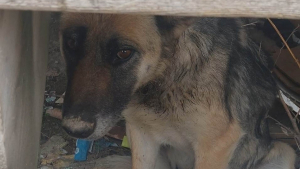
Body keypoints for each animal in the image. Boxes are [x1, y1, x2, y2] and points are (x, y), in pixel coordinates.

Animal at [59, 13, 296, 169]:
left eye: (124, 52)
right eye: (70, 42)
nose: (74, 129)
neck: (165, 78)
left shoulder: (215, 146)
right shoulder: (140, 135)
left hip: (286, 152)